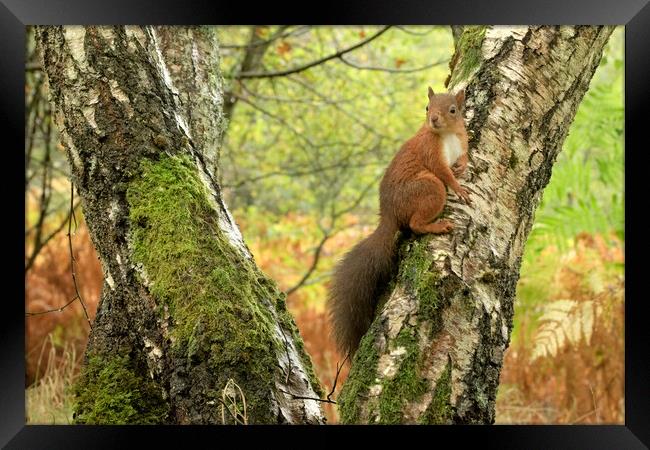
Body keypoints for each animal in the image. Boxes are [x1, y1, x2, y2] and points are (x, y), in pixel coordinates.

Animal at [326, 86, 468, 356]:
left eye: (453, 110)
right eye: (427, 107)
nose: (434, 119)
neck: (446, 134)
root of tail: (389, 215)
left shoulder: (463, 141)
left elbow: (463, 157)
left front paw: (462, 168)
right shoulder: (430, 152)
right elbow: (443, 172)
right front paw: (458, 187)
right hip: (428, 187)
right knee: (415, 224)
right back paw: (437, 226)